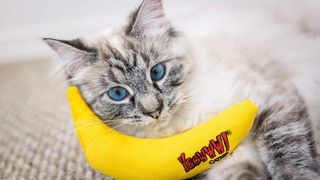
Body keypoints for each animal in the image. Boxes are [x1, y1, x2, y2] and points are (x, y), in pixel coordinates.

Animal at [44, 0, 320, 179]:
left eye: (157, 72)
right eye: (118, 94)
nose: (154, 111)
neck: (186, 123)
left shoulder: (271, 101)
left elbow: (288, 156)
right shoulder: (223, 154)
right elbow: (244, 175)